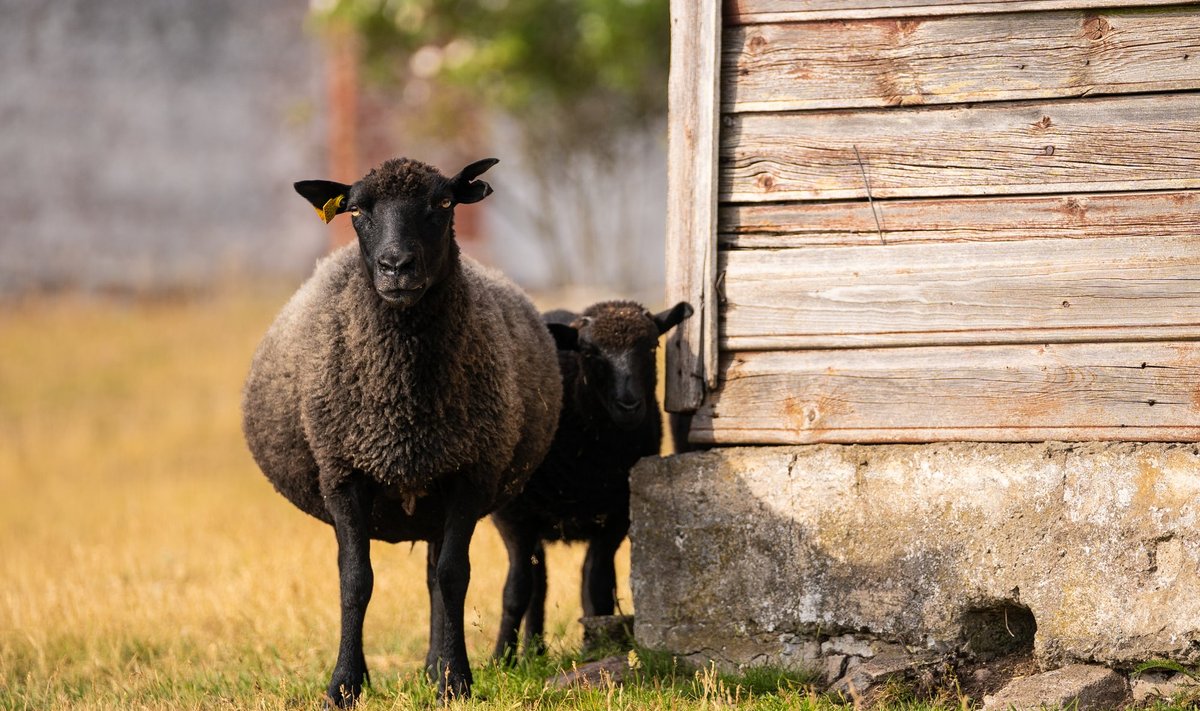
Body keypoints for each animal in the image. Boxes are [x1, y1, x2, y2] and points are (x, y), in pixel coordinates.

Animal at [244, 157, 566, 706]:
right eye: (356, 210)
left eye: (444, 202)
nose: (396, 266)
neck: (403, 409)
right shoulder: (343, 472)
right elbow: (355, 581)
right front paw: (344, 686)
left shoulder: (470, 473)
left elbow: (453, 577)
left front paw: (455, 682)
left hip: (440, 491)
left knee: (436, 576)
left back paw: (435, 668)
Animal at [489, 299, 696, 662]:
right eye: (588, 353)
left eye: (652, 346)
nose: (629, 405)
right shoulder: (512, 516)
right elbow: (516, 590)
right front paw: (501, 658)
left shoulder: (615, 516)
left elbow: (597, 584)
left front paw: (594, 648)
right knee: (536, 582)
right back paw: (532, 651)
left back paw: (538, 651)